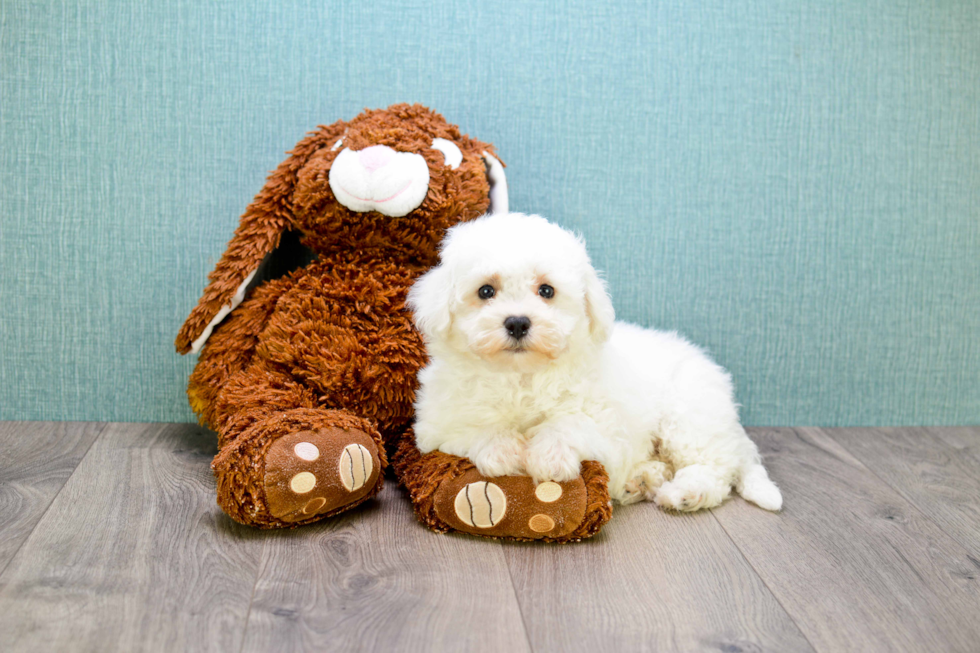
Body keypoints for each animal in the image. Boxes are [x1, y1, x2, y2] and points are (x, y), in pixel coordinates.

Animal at [406, 213, 780, 510]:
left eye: (546, 291)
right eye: (486, 291)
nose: (517, 322)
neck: (522, 376)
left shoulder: (608, 426)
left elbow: (572, 424)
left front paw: (549, 456)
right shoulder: (435, 425)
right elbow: (471, 427)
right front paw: (502, 449)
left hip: (690, 417)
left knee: (713, 469)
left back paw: (686, 493)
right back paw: (642, 480)